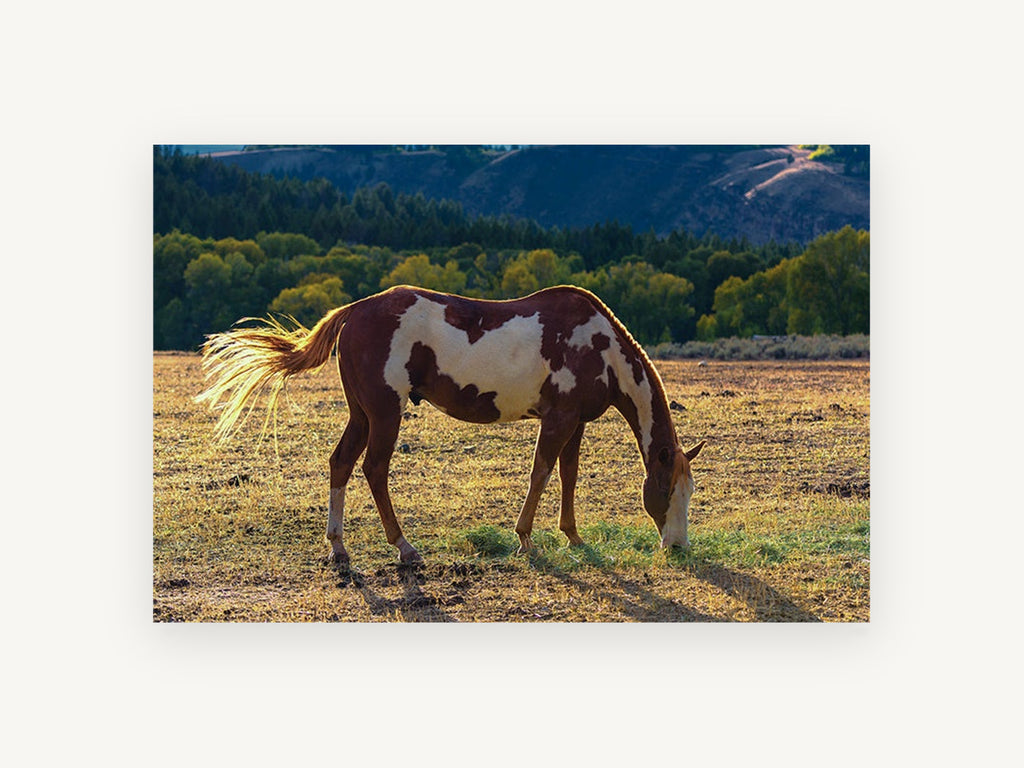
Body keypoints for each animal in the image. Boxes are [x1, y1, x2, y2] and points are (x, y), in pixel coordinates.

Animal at [196, 284, 705, 564]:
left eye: (689, 491)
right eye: (666, 490)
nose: (678, 546)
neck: (599, 347)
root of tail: (355, 310)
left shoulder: (575, 423)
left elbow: (568, 476)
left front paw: (573, 536)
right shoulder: (558, 419)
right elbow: (541, 473)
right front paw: (525, 538)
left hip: (361, 414)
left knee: (340, 463)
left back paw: (339, 548)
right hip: (385, 413)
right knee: (374, 470)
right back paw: (403, 547)